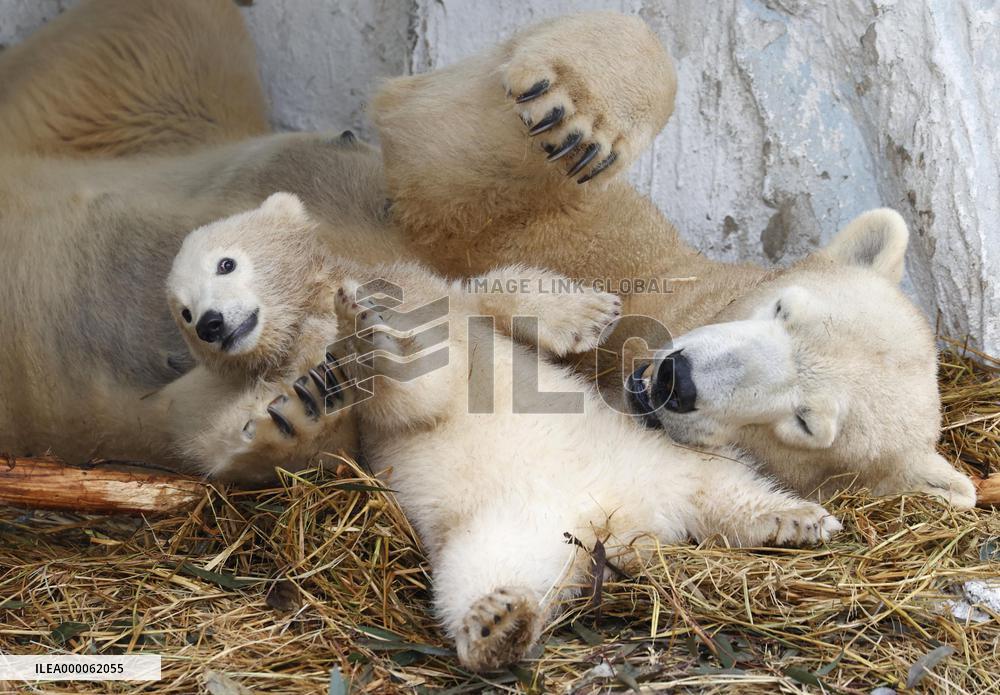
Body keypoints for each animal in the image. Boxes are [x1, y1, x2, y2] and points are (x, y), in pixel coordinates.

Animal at [0, 0, 974, 507]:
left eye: (807, 426)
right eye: (781, 306)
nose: (678, 380)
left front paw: (295, 406)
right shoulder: (585, 239)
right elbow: (445, 145)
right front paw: (577, 111)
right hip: (131, 101)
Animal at [174, 193, 842, 672]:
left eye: (227, 262)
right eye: (181, 309)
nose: (210, 322)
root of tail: (626, 521)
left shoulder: (425, 289)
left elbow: (478, 309)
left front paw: (588, 312)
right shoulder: (331, 395)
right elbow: (381, 408)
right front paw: (295, 409)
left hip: (661, 454)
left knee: (727, 488)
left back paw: (797, 519)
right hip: (512, 529)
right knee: (482, 573)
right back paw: (497, 623)